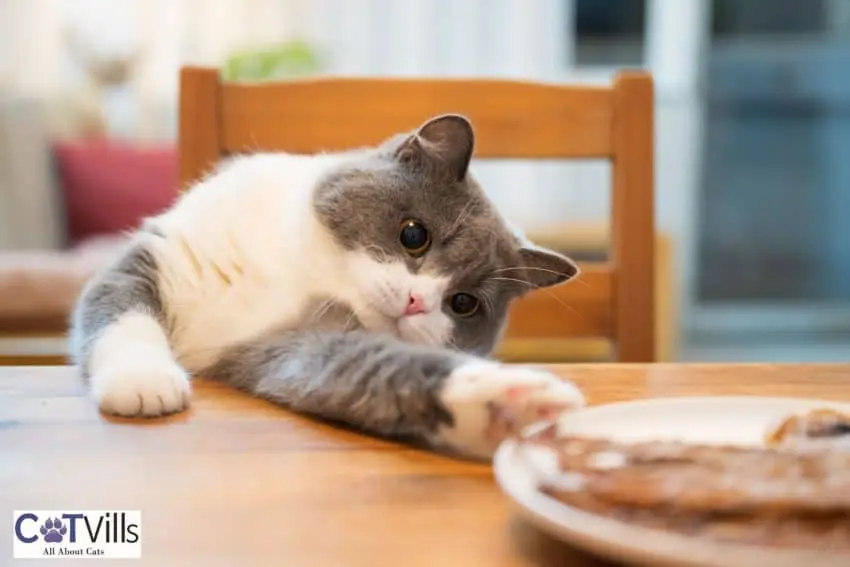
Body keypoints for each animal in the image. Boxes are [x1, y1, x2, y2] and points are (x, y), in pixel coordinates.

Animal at [68, 112, 584, 462]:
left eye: (463, 303)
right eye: (414, 235)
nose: (416, 302)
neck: (301, 272)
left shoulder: (289, 343)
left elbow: (363, 367)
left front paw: (507, 406)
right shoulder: (155, 260)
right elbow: (124, 316)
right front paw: (145, 383)